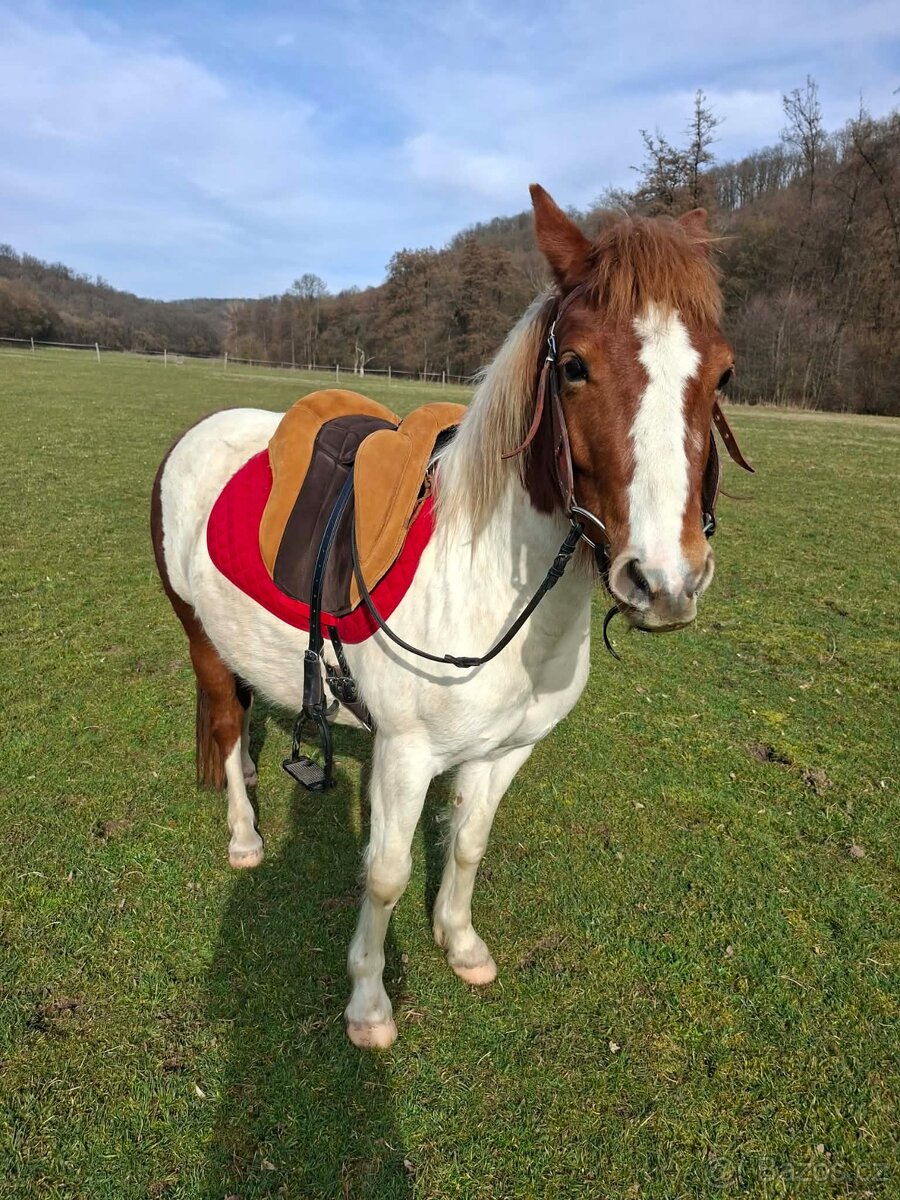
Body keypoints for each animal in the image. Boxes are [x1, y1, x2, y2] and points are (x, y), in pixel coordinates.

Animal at [151, 185, 744, 1049]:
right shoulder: (405, 755)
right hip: (198, 635)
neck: (492, 585)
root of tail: (201, 429)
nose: (666, 579)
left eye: (725, 374)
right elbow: (386, 873)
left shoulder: (508, 750)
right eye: (574, 366)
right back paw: (244, 834)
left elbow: (467, 844)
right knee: (226, 724)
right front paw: (368, 1003)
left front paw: (460, 944)